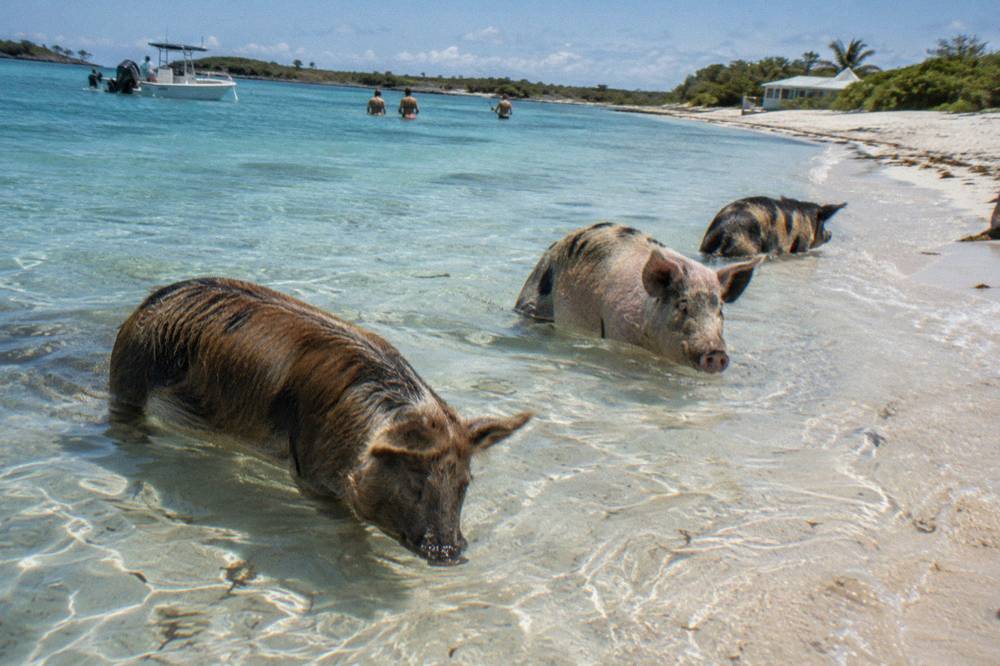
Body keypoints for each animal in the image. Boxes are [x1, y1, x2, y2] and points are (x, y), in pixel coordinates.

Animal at [109, 277, 532, 565]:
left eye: (465, 483)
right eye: (415, 483)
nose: (451, 555)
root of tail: (149, 301)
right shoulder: (309, 469)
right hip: (128, 379)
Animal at [699, 196, 847, 257]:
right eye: (823, 225)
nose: (830, 234)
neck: (808, 219)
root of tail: (725, 234)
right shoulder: (802, 242)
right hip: (747, 246)